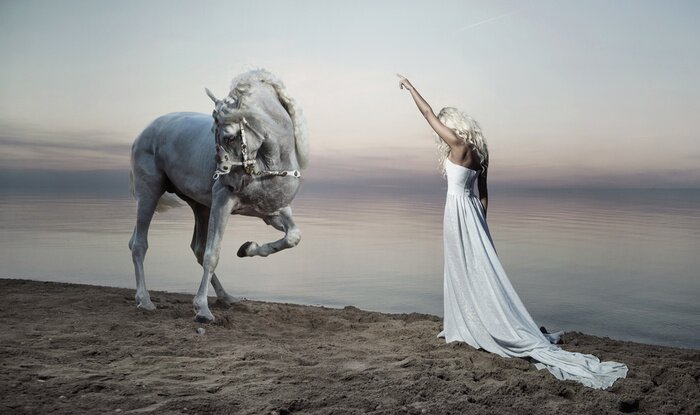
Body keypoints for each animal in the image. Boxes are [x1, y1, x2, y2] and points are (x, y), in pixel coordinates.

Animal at [128, 69, 309, 323]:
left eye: (230, 136)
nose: (227, 181)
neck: (270, 165)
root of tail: (145, 131)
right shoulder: (223, 204)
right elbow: (213, 255)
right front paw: (202, 310)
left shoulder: (273, 212)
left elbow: (293, 237)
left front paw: (248, 248)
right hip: (149, 193)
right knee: (139, 244)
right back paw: (144, 300)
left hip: (200, 207)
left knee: (194, 248)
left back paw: (226, 297)